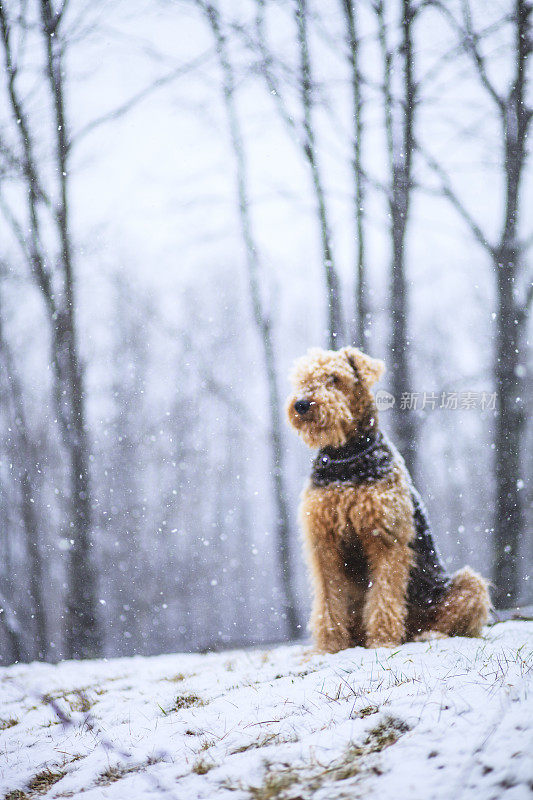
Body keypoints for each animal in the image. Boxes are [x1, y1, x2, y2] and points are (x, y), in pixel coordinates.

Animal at [286, 346, 490, 652]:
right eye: (303, 378)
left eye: (334, 378)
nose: (301, 404)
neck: (345, 459)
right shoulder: (324, 541)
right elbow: (328, 599)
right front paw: (329, 646)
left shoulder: (385, 536)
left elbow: (384, 594)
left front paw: (382, 640)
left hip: (467, 585)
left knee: (455, 624)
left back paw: (426, 635)